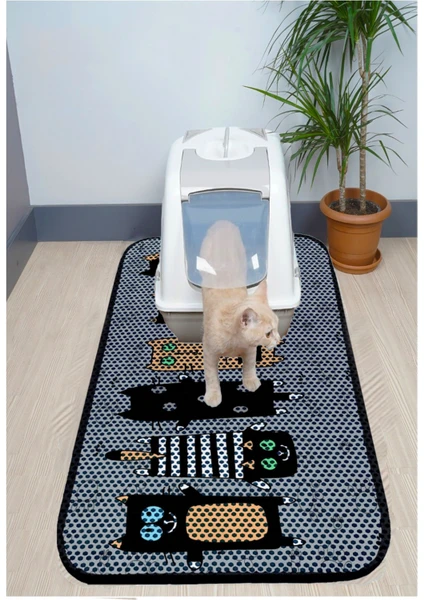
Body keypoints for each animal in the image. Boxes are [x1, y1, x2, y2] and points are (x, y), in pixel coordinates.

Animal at [200, 220, 281, 407]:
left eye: (277, 327)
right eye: (268, 333)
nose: (279, 339)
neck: (235, 342)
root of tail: (222, 221)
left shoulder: (250, 349)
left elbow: (249, 364)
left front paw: (250, 380)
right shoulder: (208, 351)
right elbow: (211, 375)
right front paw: (213, 395)